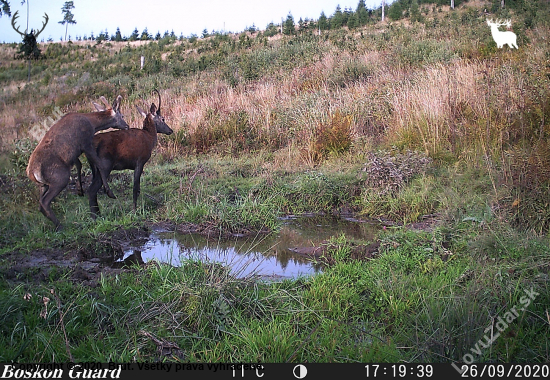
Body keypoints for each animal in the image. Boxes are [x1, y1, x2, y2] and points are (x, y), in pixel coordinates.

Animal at [26, 96, 130, 230]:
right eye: (121, 115)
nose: (127, 126)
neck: (93, 124)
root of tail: (32, 172)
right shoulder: (85, 141)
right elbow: (99, 164)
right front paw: (109, 192)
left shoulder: (75, 152)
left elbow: (80, 165)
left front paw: (80, 190)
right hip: (60, 178)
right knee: (44, 202)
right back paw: (60, 226)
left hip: (42, 185)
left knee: (40, 204)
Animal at [75, 89, 174, 218]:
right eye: (162, 119)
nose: (170, 130)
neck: (150, 138)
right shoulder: (140, 161)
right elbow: (135, 187)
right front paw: (135, 210)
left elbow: (138, 188)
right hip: (105, 165)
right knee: (91, 190)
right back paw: (95, 217)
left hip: (94, 168)